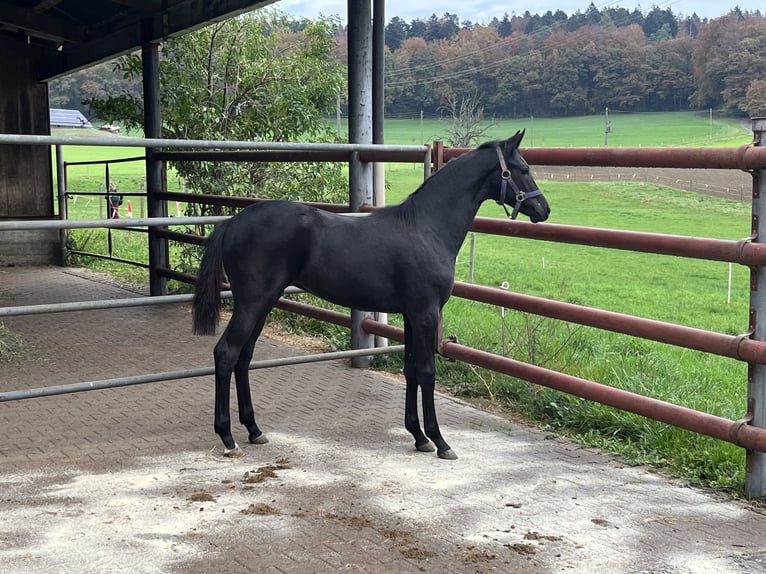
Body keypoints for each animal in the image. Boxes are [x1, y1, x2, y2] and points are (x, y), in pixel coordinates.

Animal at [194, 130, 552, 460]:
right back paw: (228, 438)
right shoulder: (426, 313)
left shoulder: (410, 314)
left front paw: (418, 437)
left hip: (262, 303)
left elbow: (410, 370)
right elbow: (427, 371)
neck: (426, 227)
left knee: (244, 357)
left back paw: (254, 430)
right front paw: (440, 442)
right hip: (253, 303)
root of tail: (232, 223)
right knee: (226, 353)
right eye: (522, 168)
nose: (543, 209)